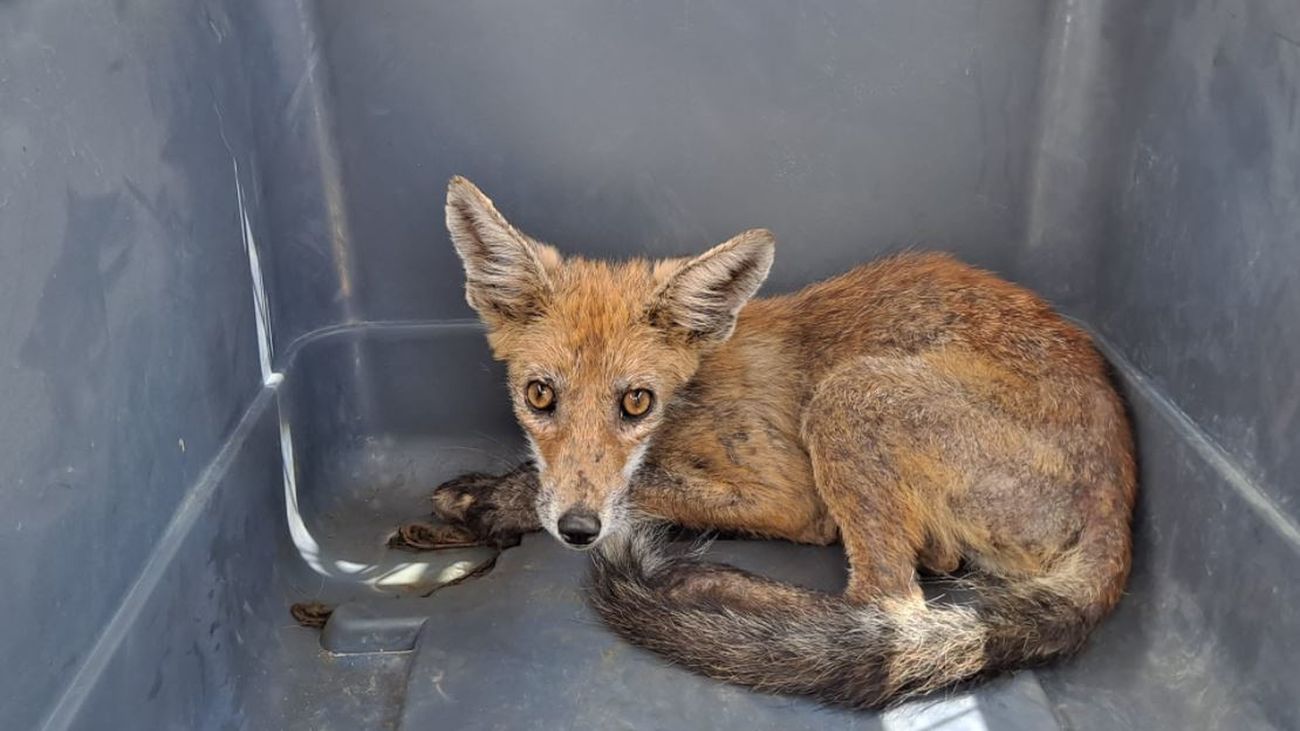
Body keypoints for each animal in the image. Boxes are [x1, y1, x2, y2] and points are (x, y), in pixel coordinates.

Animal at [422, 175, 1136, 709]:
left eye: (636, 402)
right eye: (540, 395)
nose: (577, 531)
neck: (693, 396)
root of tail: (1119, 499)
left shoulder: (789, 499)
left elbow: (645, 487)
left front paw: (504, 503)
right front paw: (497, 492)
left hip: (851, 397)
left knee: (885, 609)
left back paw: (713, 590)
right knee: (927, 571)